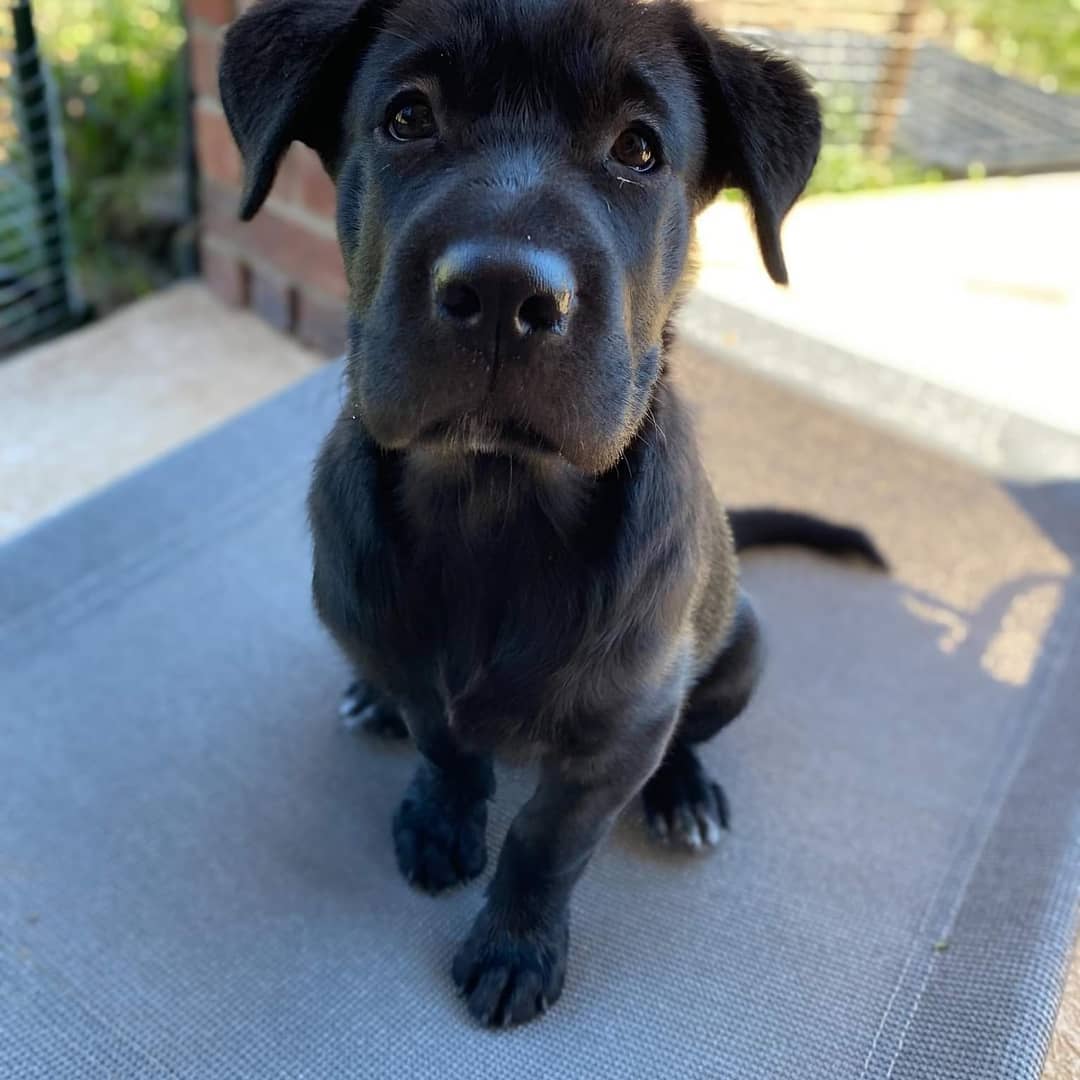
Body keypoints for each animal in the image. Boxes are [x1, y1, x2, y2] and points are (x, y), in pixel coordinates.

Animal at [223, 0, 881, 1023]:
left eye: (639, 149)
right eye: (407, 117)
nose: (503, 292)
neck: (495, 502)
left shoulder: (618, 733)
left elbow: (548, 838)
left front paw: (516, 945)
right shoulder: (418, 671)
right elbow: (447, 748)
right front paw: (441, 820)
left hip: (741, 649)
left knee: (689, 729)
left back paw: (684, 794)